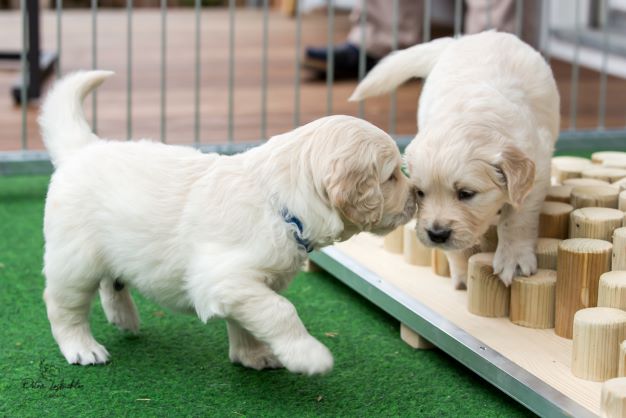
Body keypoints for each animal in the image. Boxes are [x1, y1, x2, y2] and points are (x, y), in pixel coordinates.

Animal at [39, 71, 417, 375]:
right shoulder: (226, 277)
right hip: (74, 259)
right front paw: (309, 356)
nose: (417, 194)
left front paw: (253, 355)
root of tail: (82, 149)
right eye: (392, 176)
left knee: (111, 283)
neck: (281, 203)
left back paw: (124, 318)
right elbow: (281, 311)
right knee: (63, 305)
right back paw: (83, 348)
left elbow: (249, 319)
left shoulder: (250, 285)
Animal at [350, 31, 560, 288]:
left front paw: (514, 259)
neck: (468, 116)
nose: (437, 234)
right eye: (420, 193)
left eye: (466, 194)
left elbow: (517, 218)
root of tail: (462, 39)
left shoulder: (537, 165)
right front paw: (461, 271)